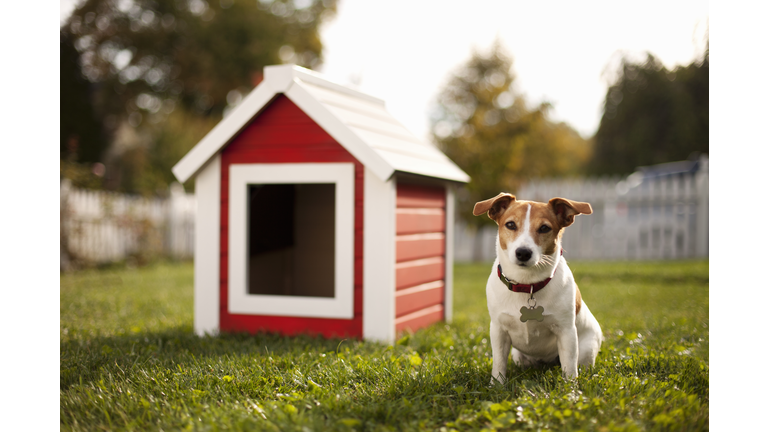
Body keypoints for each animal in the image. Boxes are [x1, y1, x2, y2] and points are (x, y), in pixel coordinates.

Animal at [472, 194, 604, 380]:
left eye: (544, 228)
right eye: (510, 224)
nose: (523, 252)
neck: (527, 284)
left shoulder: (566, 332)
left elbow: (570, 368)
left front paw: (570, 388)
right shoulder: (498, 331)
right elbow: (498, 364)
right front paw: (496, 384)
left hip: (586, 350)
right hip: (518, 356)